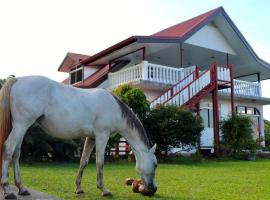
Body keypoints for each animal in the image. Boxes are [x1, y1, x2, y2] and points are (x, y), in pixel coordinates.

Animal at [0, 76, 157, 198]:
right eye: (155, 164)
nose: (153, 188)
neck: (115, 108)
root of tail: (18, 79)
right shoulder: (102, 136)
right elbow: (100, 162)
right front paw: (104, 190)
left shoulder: (91, 138)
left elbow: (84, 161)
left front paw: (78, 188)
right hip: (21, 125)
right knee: (8, 149)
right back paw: (7, 190)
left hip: (21, 127)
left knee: (16, 153)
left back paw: (21, 188)